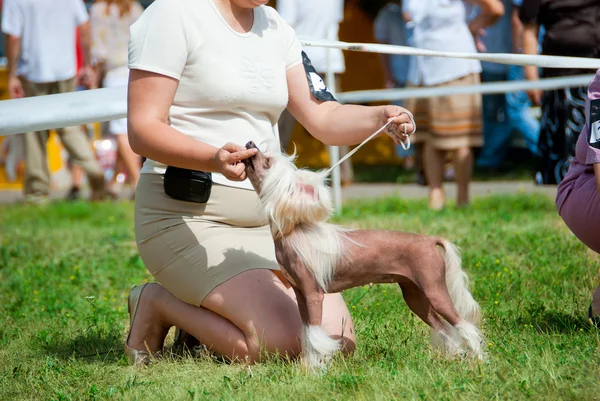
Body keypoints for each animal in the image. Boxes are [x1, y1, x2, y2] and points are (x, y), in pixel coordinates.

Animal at [243, 141, 482, 368]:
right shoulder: (301, 294)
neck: (295, 231)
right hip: (416, 296)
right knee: (444, 328)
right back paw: (455, 358)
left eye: (267, 162)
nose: (249, 143)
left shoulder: (313, 295)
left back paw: (479, 361)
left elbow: (316, 336)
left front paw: (316, 370)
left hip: (435, 290)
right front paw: (309, 366)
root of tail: (429, 240)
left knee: (464, 325)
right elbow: (309, 332)